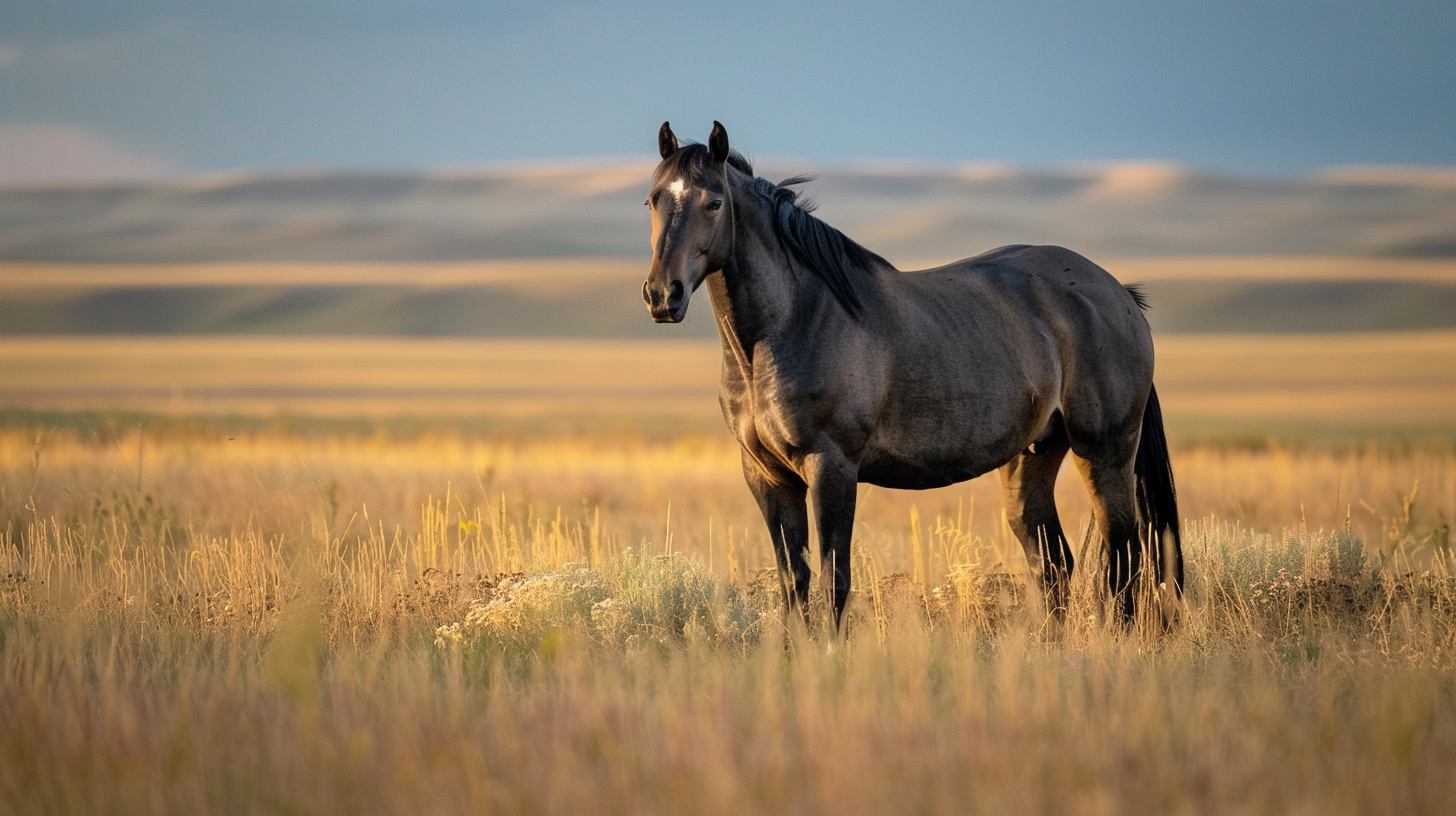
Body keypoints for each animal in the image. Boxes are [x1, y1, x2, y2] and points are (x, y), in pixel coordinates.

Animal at [641, 121, 1182, 628]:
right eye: (652, 200)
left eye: (714, 203)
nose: (663, 295)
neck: (790, 324)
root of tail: (1118, 292)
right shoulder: (767, 475)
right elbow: (793, 583)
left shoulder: (831, 467)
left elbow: (834, 580)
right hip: (1032, 457)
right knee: (1052, 564)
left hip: (1105, 452)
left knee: (1124, 562)